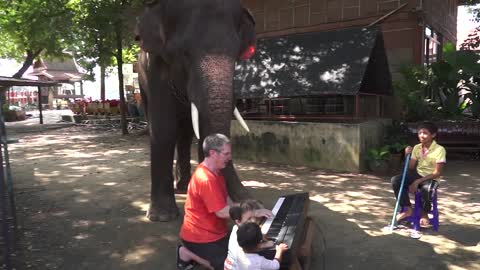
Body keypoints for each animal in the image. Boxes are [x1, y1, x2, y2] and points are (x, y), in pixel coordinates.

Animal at [136, 0, 255, 221]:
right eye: (183, 53)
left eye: (236, 55)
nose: (248, 200)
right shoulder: (154, 67)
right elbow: (163, 128)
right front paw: (161, 216)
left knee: (185, 134)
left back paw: (184, 186)